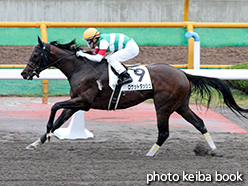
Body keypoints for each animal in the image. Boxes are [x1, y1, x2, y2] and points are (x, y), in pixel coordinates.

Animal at [21, 37, 248, 156]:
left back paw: (150, 153)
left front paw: (48, 132)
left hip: (163, 106)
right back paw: (213, 149)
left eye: (35, 55)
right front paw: (37, 142)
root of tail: (183, 73)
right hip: (181, 105)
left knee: (164, 132)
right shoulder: (76, 102)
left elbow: (54, 108)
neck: (81, 68)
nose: (24, 73)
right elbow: (59, 118)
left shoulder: (83, 102)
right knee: (199, 123)